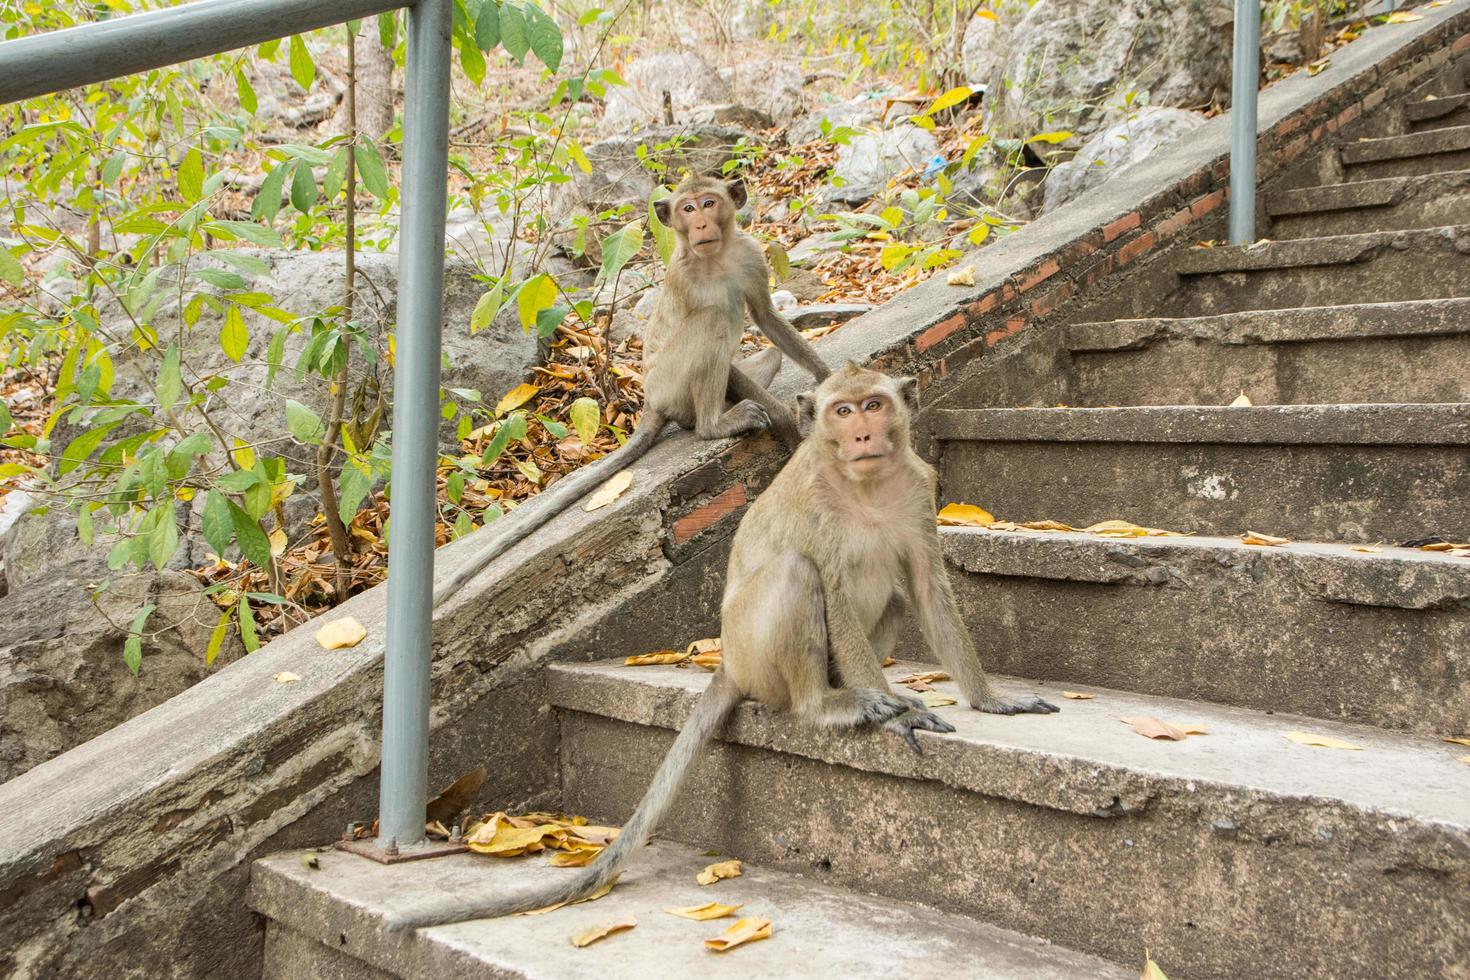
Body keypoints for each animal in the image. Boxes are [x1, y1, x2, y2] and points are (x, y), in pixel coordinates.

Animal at [391, 362, 1058, 928]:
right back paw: (831, 704)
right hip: (754, 653)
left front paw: (992, 700)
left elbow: (925, 586)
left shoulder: (919, 490)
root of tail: (728, 663)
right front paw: (899, 717)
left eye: (874, 404)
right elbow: (833, 589)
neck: (864, 487)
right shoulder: (817, 506)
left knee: (892, 596)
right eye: (841, 411)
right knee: (796, 573)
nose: (864, 432)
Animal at [429, 172, 834, 608]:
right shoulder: (686, 281)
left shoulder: (749, 255)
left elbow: (765, 316)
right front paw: (787, 423)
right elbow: (721, 338)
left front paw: (826, 377)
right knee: (712, 320)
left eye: (709, 203)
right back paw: (715, 424)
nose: (700, 224)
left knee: (766, 356)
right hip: (671, 382)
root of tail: (650, 400)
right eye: (687, 208)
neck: (715, 257)